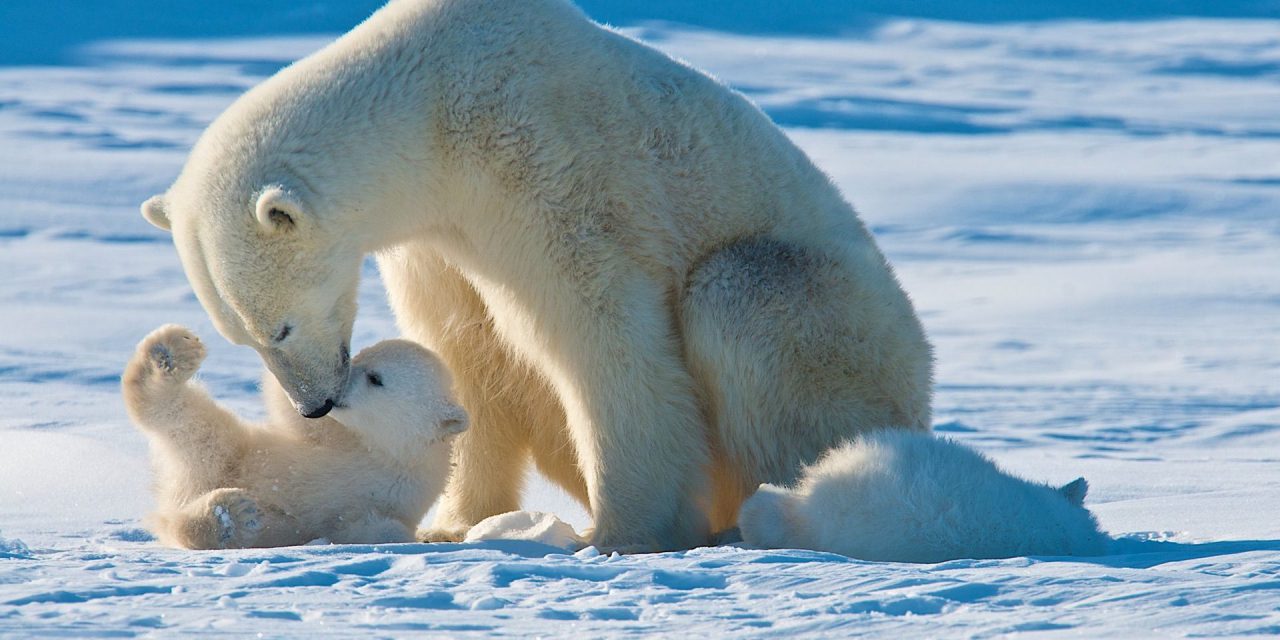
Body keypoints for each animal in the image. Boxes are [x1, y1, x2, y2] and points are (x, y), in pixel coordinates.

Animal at [120, 325, 465, 550]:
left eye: (375, 378)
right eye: (360, 357)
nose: (337, 386)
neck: (389, 450)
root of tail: (177, 493)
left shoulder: (401, 490)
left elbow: (376, 526)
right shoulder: (337, 438)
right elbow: (295, 416)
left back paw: (230, 519)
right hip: (231, 448)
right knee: (179, 415)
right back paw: (169, 356)